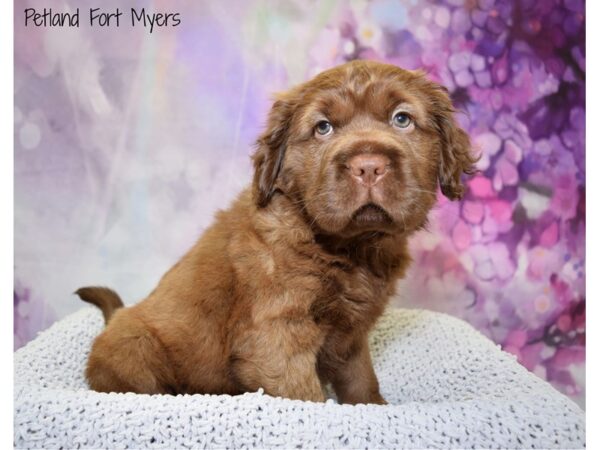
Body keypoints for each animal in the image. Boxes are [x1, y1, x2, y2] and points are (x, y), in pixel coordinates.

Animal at [76, 60, 478, 404]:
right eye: (323, 127)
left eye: (402, 119)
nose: (368, 166)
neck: (347, 247)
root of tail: (116, 318)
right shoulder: (277, 332)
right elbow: (305, 396)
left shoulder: (351, 337)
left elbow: (362, 381)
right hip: (135, 350)